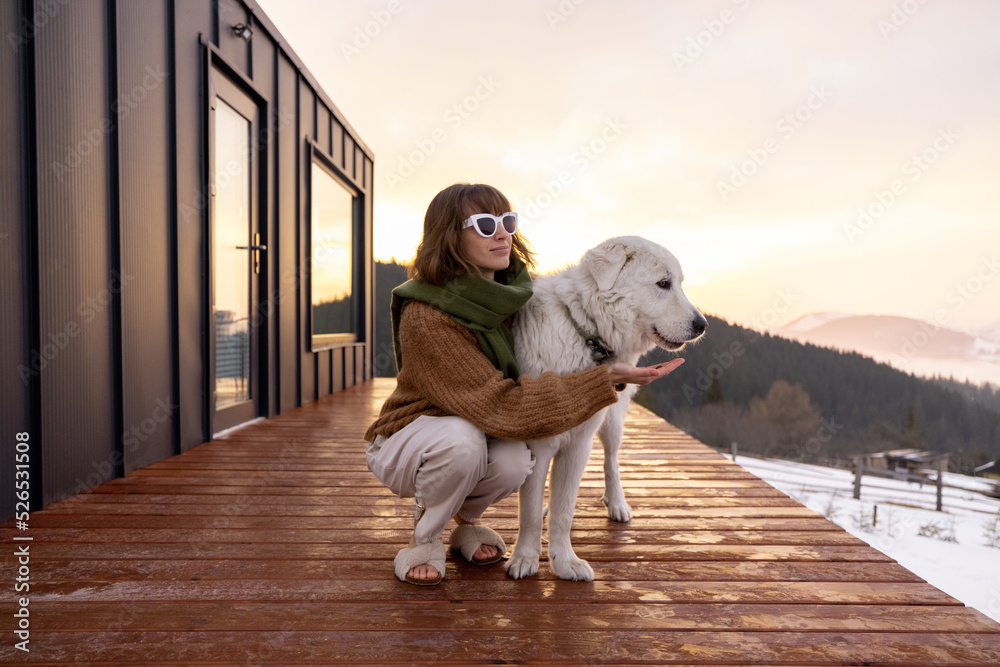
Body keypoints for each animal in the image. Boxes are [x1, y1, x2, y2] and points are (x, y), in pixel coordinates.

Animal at [504, 237, 708, 580]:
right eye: (663, 284)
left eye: (679, 283)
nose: (702, 325)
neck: (583, 333)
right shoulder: (539, 445)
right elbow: (530, 511)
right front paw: (525, 559)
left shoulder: (578, 444)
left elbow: (564, 511)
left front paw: (565, 563)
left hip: (611, 424)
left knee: (611, 462)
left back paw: (617, 504)